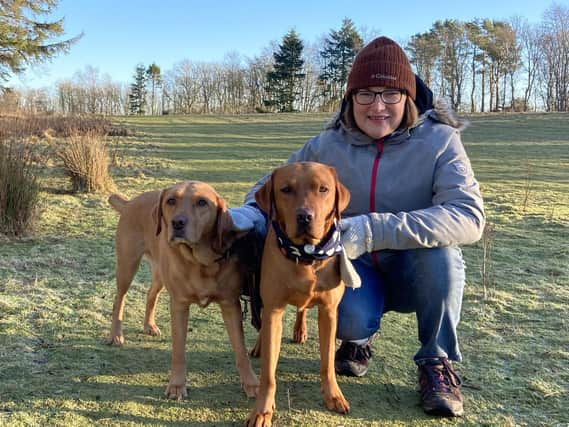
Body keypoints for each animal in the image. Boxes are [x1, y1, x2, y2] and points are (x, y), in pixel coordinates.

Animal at [106, 181, 258, 402]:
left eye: (202, 202)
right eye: (171, 200)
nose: (177, 223)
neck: (201, 261)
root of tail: (129, 202)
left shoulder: (230, 304)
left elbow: (240, 348)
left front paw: (251, 383)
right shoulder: (179, 304)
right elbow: (178, 350)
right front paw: (177, 385)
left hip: (160, 273)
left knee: (151, 294)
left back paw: (149, 325)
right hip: (127, 264)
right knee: (119, 298)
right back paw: (116, 335)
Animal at [247, 162, 350, 426]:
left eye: (323, 189)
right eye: (285, 189)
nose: (305, 216)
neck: (306, 254)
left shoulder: (329, 312)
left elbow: (328, 362)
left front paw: (333, 396)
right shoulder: (273, 309)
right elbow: (268, 373)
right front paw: (262, 410)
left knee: (302, 309)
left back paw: (300, 329)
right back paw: (260, 344)